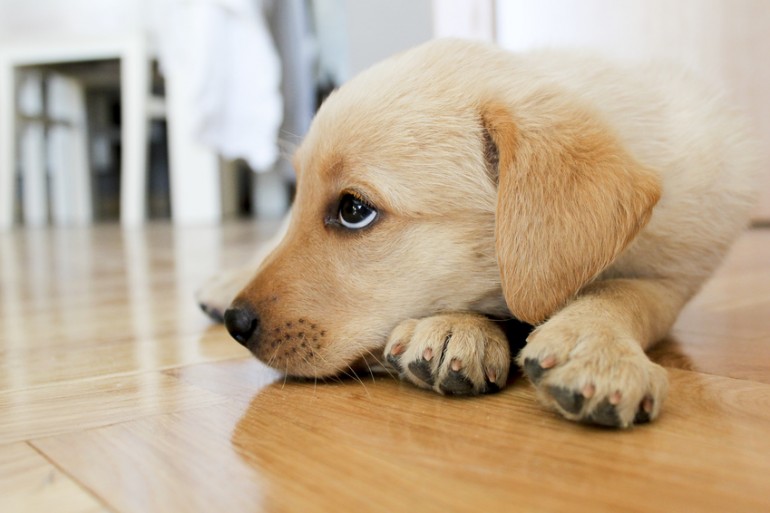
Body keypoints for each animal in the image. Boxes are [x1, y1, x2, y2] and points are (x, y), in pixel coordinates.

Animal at [196, 38, 756, 426]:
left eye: (354, 209)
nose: (238, 324)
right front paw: (454, 329)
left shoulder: (677, 275)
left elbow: (622, 292)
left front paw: (593, 344)